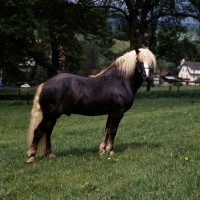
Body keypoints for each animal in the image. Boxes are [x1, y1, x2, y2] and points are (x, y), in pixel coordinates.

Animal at [26, 48, 156, 162]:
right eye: (139, 61)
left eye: (151, 63)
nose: (147, 76)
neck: (120, 80)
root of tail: (44, 84)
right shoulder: (118, 112)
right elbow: (113, 131)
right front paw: (111, 151)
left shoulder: (110, 112)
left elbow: (107, 130)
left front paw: (102, 150)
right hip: (49, 116)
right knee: (38, 132)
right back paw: (31, 156)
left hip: (52, 117)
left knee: (47, 133)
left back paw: (51, 154)